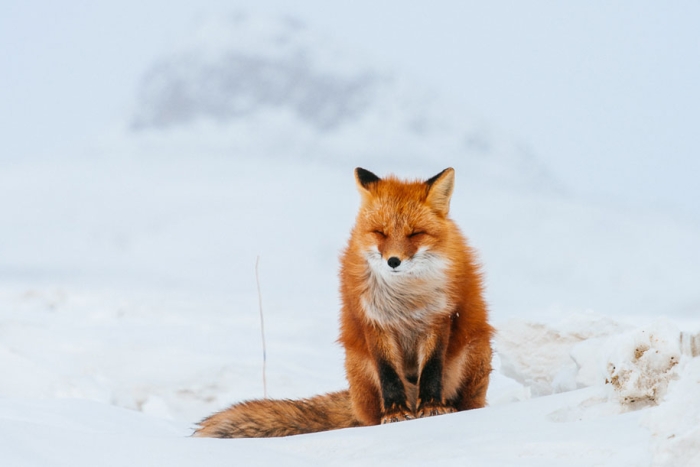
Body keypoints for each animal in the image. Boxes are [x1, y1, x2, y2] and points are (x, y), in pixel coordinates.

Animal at [194, 167, 493, 438]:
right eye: (380, 233)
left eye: (415, 234)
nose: (393, 261)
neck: (405, 299)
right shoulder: (373, 321)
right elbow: (388, 375)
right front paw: (395, 414)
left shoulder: (438, 318)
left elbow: (431, 369)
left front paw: (432, 408)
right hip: (358, 365)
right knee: (370, 417)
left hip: (473, 352)